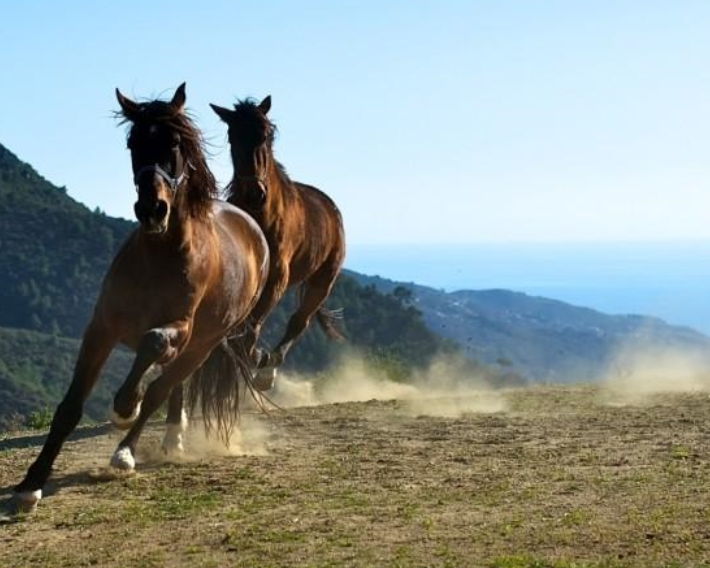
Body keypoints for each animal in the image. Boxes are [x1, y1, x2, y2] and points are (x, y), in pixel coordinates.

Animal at [13, 85, 272, 516]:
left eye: (175, 144)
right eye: (133, 143)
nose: (153, 209)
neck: (159, 256)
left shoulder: (180, 329)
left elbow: (151, 352)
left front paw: (123, 407)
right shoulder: (100, 329)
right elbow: (69, 408)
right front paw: (30, 484)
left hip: (204, 343)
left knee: (163, 387)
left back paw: (127, 450)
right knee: (172, 386)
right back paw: (170, 438)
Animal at [210, 96, 346, 390]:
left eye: (266, 135)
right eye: (232, 137)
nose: (255, 193)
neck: (261, 217)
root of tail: (332, 210)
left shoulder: (276, 278)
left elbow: (254, 326)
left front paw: (258, 358)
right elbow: (244, 327)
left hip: (323, 280)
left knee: (299, 322)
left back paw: (267, 369)